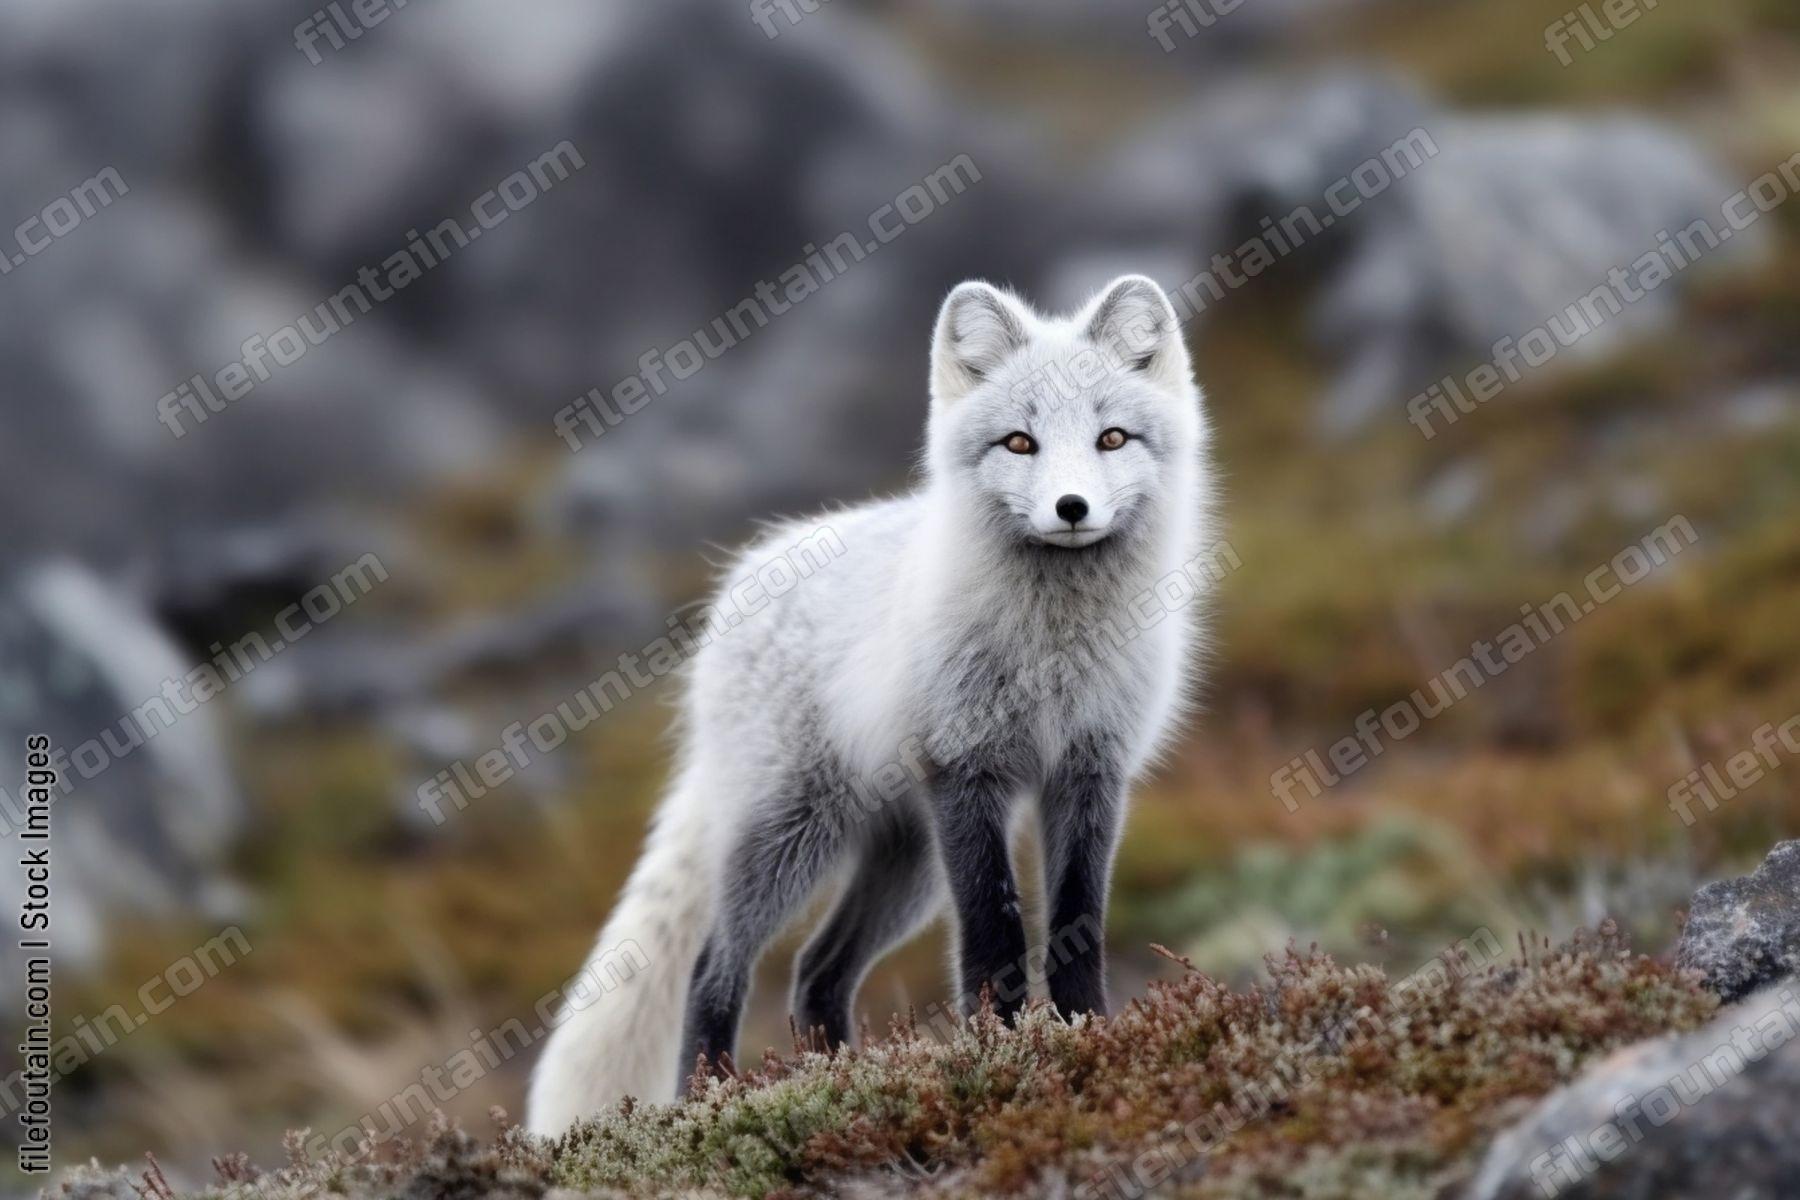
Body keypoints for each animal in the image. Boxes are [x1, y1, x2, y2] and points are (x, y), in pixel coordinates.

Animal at [525, 274, 1215, 1136]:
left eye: (1113, 438)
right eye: (1019, 443)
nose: (1071, 507)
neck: (1055, 649)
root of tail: (741, 581)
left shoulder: (1090, 775)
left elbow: (1075, 924)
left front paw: (1089, 1038)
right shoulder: (966, 774)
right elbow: (994, 934)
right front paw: (1004, 1053)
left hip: (905, 868)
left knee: (816, 972)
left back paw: (839, 1080)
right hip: (791, 835)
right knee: (715, 967)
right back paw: (711, 1098)